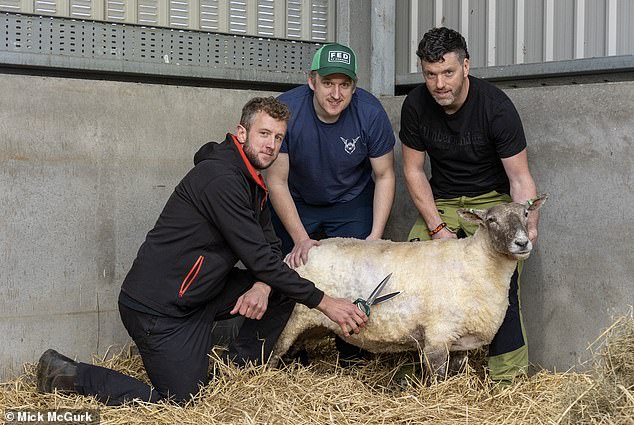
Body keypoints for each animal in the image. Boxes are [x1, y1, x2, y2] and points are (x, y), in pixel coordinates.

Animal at [270, 194, 544, 376]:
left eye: (525, 214)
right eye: (492, 220)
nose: (522, 243)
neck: (475, 262)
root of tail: (291, 254)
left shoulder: (459, 341)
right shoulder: (437, 336)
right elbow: (438, 379)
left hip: (309, 326)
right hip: (290, 322)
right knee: (273, 353)